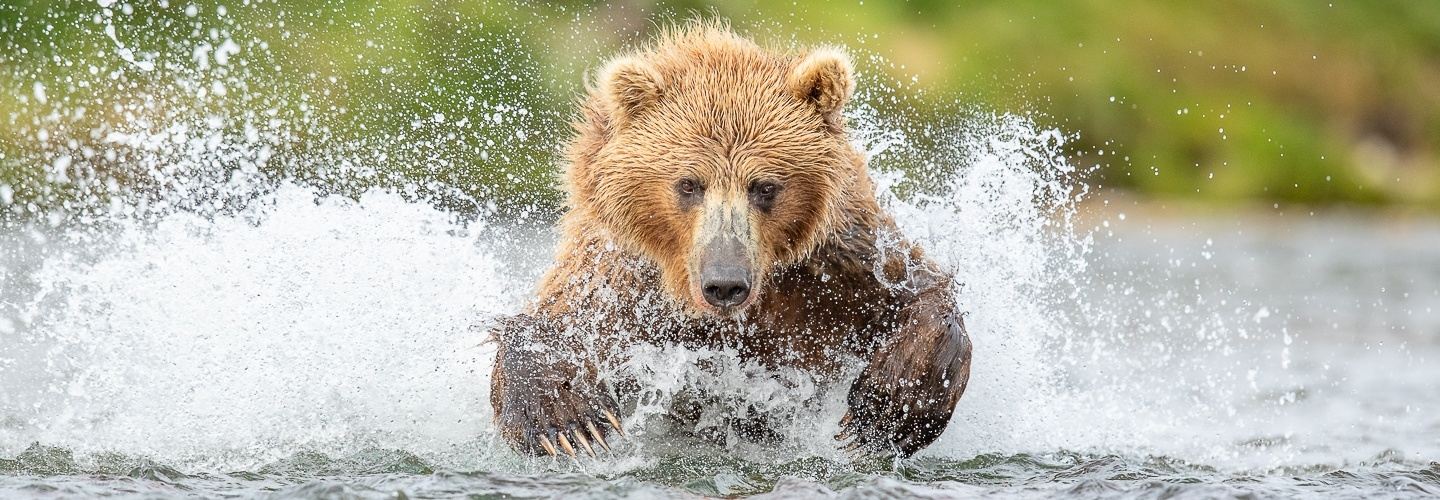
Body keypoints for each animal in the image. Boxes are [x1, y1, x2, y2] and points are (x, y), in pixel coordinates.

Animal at [490, 22, 972, 460]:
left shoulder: (839, 263)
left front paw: (885, 408)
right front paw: (569, 422)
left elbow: (920, 290)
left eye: (765, 186)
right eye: (689, 184)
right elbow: (559, 321)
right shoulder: (625, 278)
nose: (724, 283)